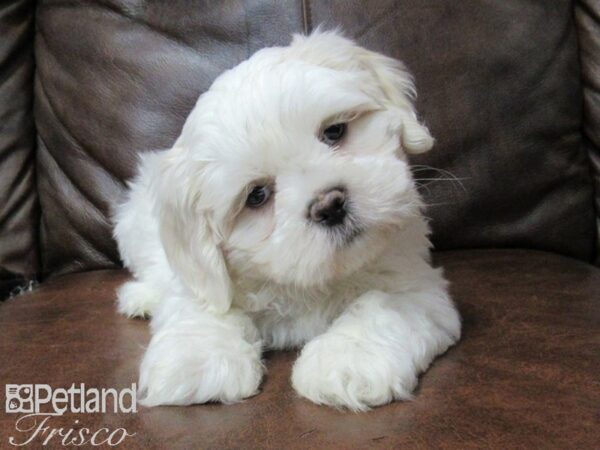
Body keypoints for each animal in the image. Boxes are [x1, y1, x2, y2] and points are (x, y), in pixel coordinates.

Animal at [115, 30, 462, 412]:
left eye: (334, 131)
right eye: (256, 196)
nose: (330, 205)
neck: (311, 283)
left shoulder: (415, 284)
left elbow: (382, 306)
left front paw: (348, 360)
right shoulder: (201, 281)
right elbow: (201, 306)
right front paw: (196, 359)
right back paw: (140, 297)